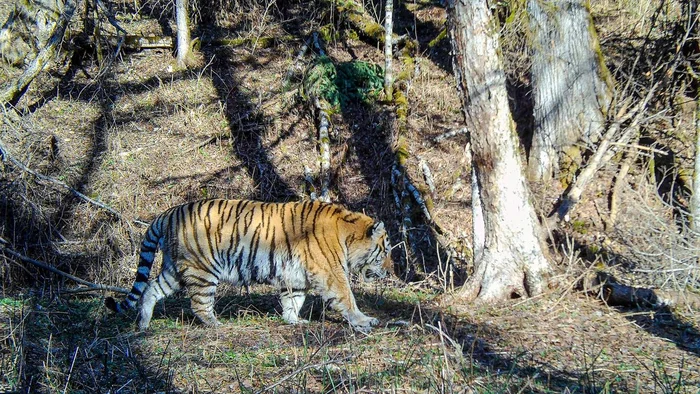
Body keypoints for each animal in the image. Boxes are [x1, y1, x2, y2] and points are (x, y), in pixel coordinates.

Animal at [107, 199, 396, 330]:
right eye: (385, 251)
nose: (390, 270)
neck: (347, 234)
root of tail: (167, 214)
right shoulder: (331, 272)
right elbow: (347, 297)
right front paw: (364, 320)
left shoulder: (296, 276)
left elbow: (294, 301)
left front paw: (294, 321)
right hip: (203, 270)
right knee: (199, 304)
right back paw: (216, 325)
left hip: (175, 269)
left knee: (150, 289)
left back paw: (143, 324)